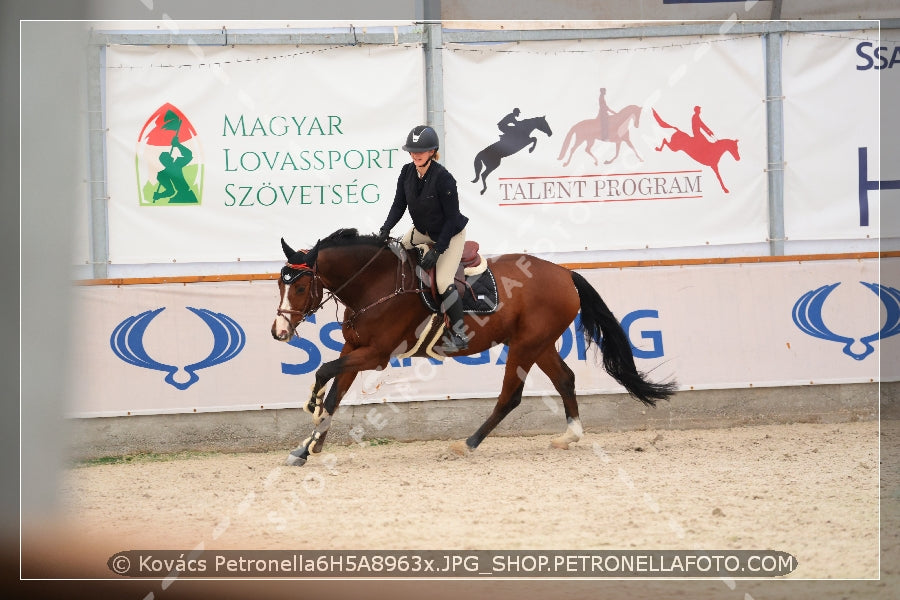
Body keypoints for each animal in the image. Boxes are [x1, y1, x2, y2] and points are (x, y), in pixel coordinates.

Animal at [270, 227, 680, 466]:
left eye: (301, 287)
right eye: (280, 284)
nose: (278, 332)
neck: (376, 283)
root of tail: (565, 274)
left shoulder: (376, 355)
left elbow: (322, 372)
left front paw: (310, 410)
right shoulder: (352, 351)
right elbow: (335, 393)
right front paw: (307, 448)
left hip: (525, 345)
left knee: (510, 397)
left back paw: (467, 444)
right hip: (538, 343)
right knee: (565, 379)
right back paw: (570, 435)